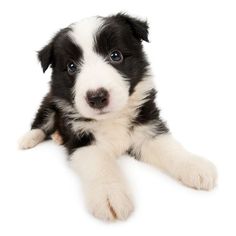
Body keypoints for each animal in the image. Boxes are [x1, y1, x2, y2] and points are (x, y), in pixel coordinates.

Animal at [19, 13, 218, 221]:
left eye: (116, 55)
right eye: (71, 67)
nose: (97, 97)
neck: (112, 118)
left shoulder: (147, 125)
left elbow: (169, 147)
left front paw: (194, 166)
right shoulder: (83, 141)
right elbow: (100, 164)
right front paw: (109, 195)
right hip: (49, 102)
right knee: (41, 122)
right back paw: (29, 139)